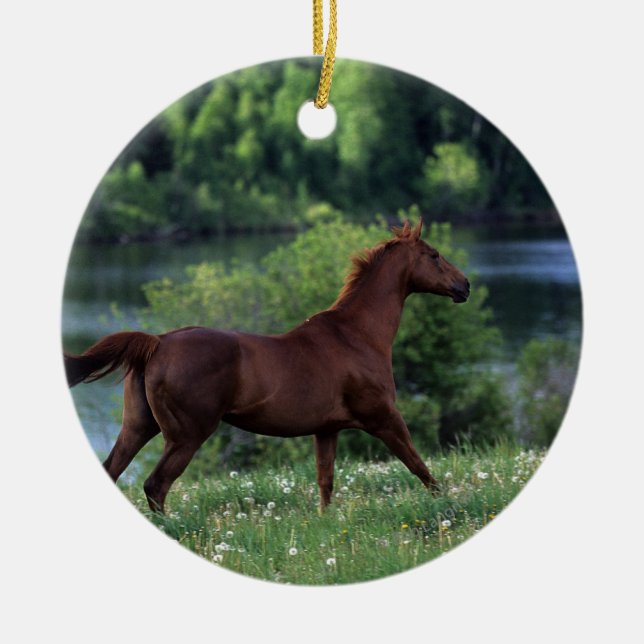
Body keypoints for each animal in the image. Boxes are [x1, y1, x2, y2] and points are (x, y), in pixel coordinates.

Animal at [64, 219, 470, 513]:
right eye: (434, 254)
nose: (464, 286)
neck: (356, 335)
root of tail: (158, 342)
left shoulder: (327, 430)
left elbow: (325, 482)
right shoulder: (384, 417)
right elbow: (419, 466)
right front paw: (448, 507)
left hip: (138, 426)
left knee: (116, 469)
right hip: (186, 435)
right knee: (155, 484)